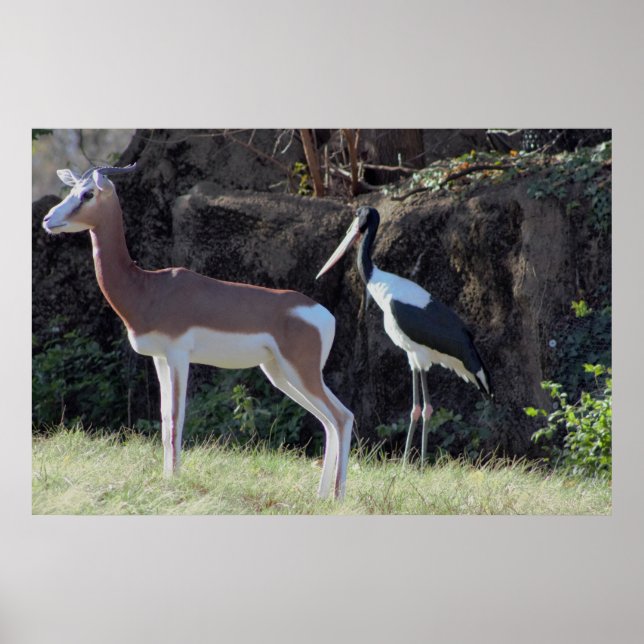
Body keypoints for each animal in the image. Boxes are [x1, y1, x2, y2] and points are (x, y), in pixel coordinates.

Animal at [42, 164, 354, 500]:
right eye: (73, 189)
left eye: (87, 194)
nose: (48, 219)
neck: (147, 288)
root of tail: (326, 316)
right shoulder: (159, 358)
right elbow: (164, 418)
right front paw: (166, 477)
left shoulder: (179, 355)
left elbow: (177, 417)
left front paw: (176, 480)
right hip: (279, 372)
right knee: (329, 421)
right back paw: (320, 495)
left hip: (301, 372)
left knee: (341, 417)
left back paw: (337, 497)